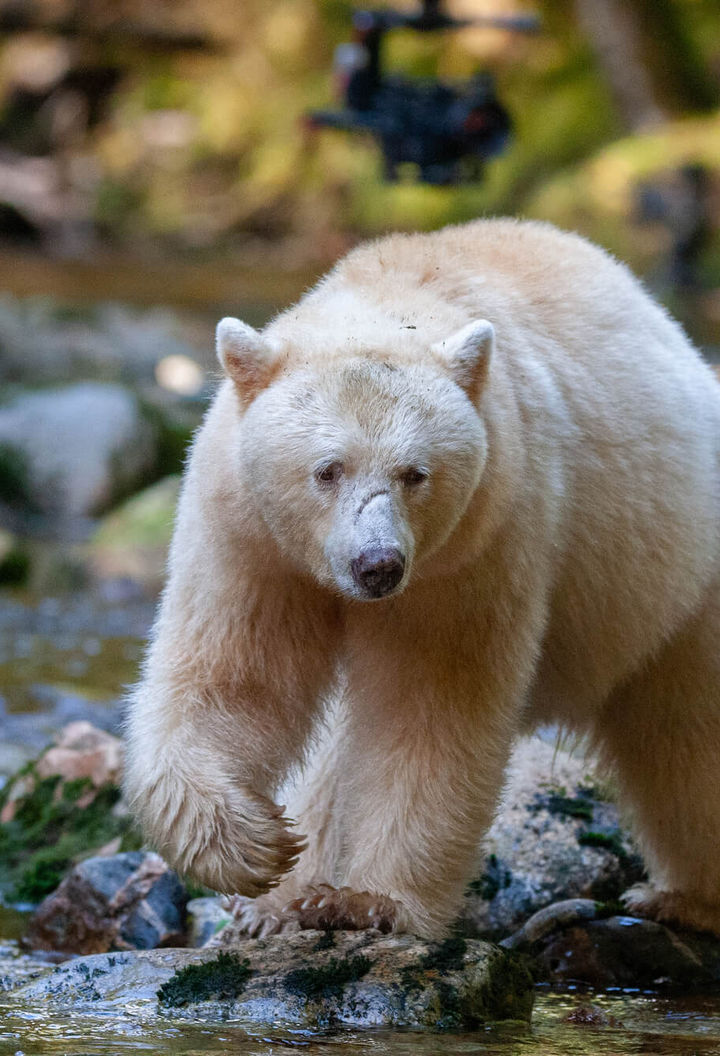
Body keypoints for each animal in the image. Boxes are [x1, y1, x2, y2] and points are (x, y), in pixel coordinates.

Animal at [126, 220, 717, 941]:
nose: (377, 564)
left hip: (677, 581)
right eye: (327, 470)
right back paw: (285, 903)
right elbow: (237, 675)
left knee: (687, 737)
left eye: (416, 473)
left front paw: (372, 902)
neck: (394, 294)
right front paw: (255, 852)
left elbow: (430, 705)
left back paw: (684, 898)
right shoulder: (251, 538)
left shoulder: (477, 547)